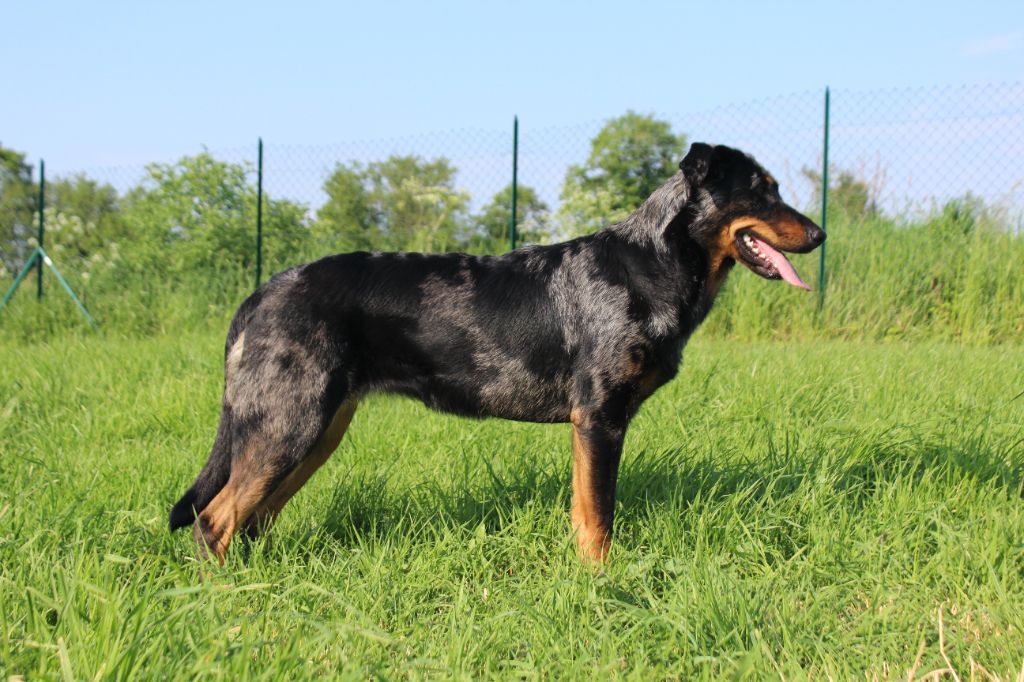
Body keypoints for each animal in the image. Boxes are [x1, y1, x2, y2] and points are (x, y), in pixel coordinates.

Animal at [167, 140, 823, 561]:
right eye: (763, 193)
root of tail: (261, 293)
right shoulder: (599, 418)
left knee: (249, 519)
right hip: (289, 425)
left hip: (315, 431)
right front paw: (604, 580)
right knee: (215, 521)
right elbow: (599, 515)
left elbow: (584, 511)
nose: (819, 233)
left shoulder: (592, 426)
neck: (654, 266)